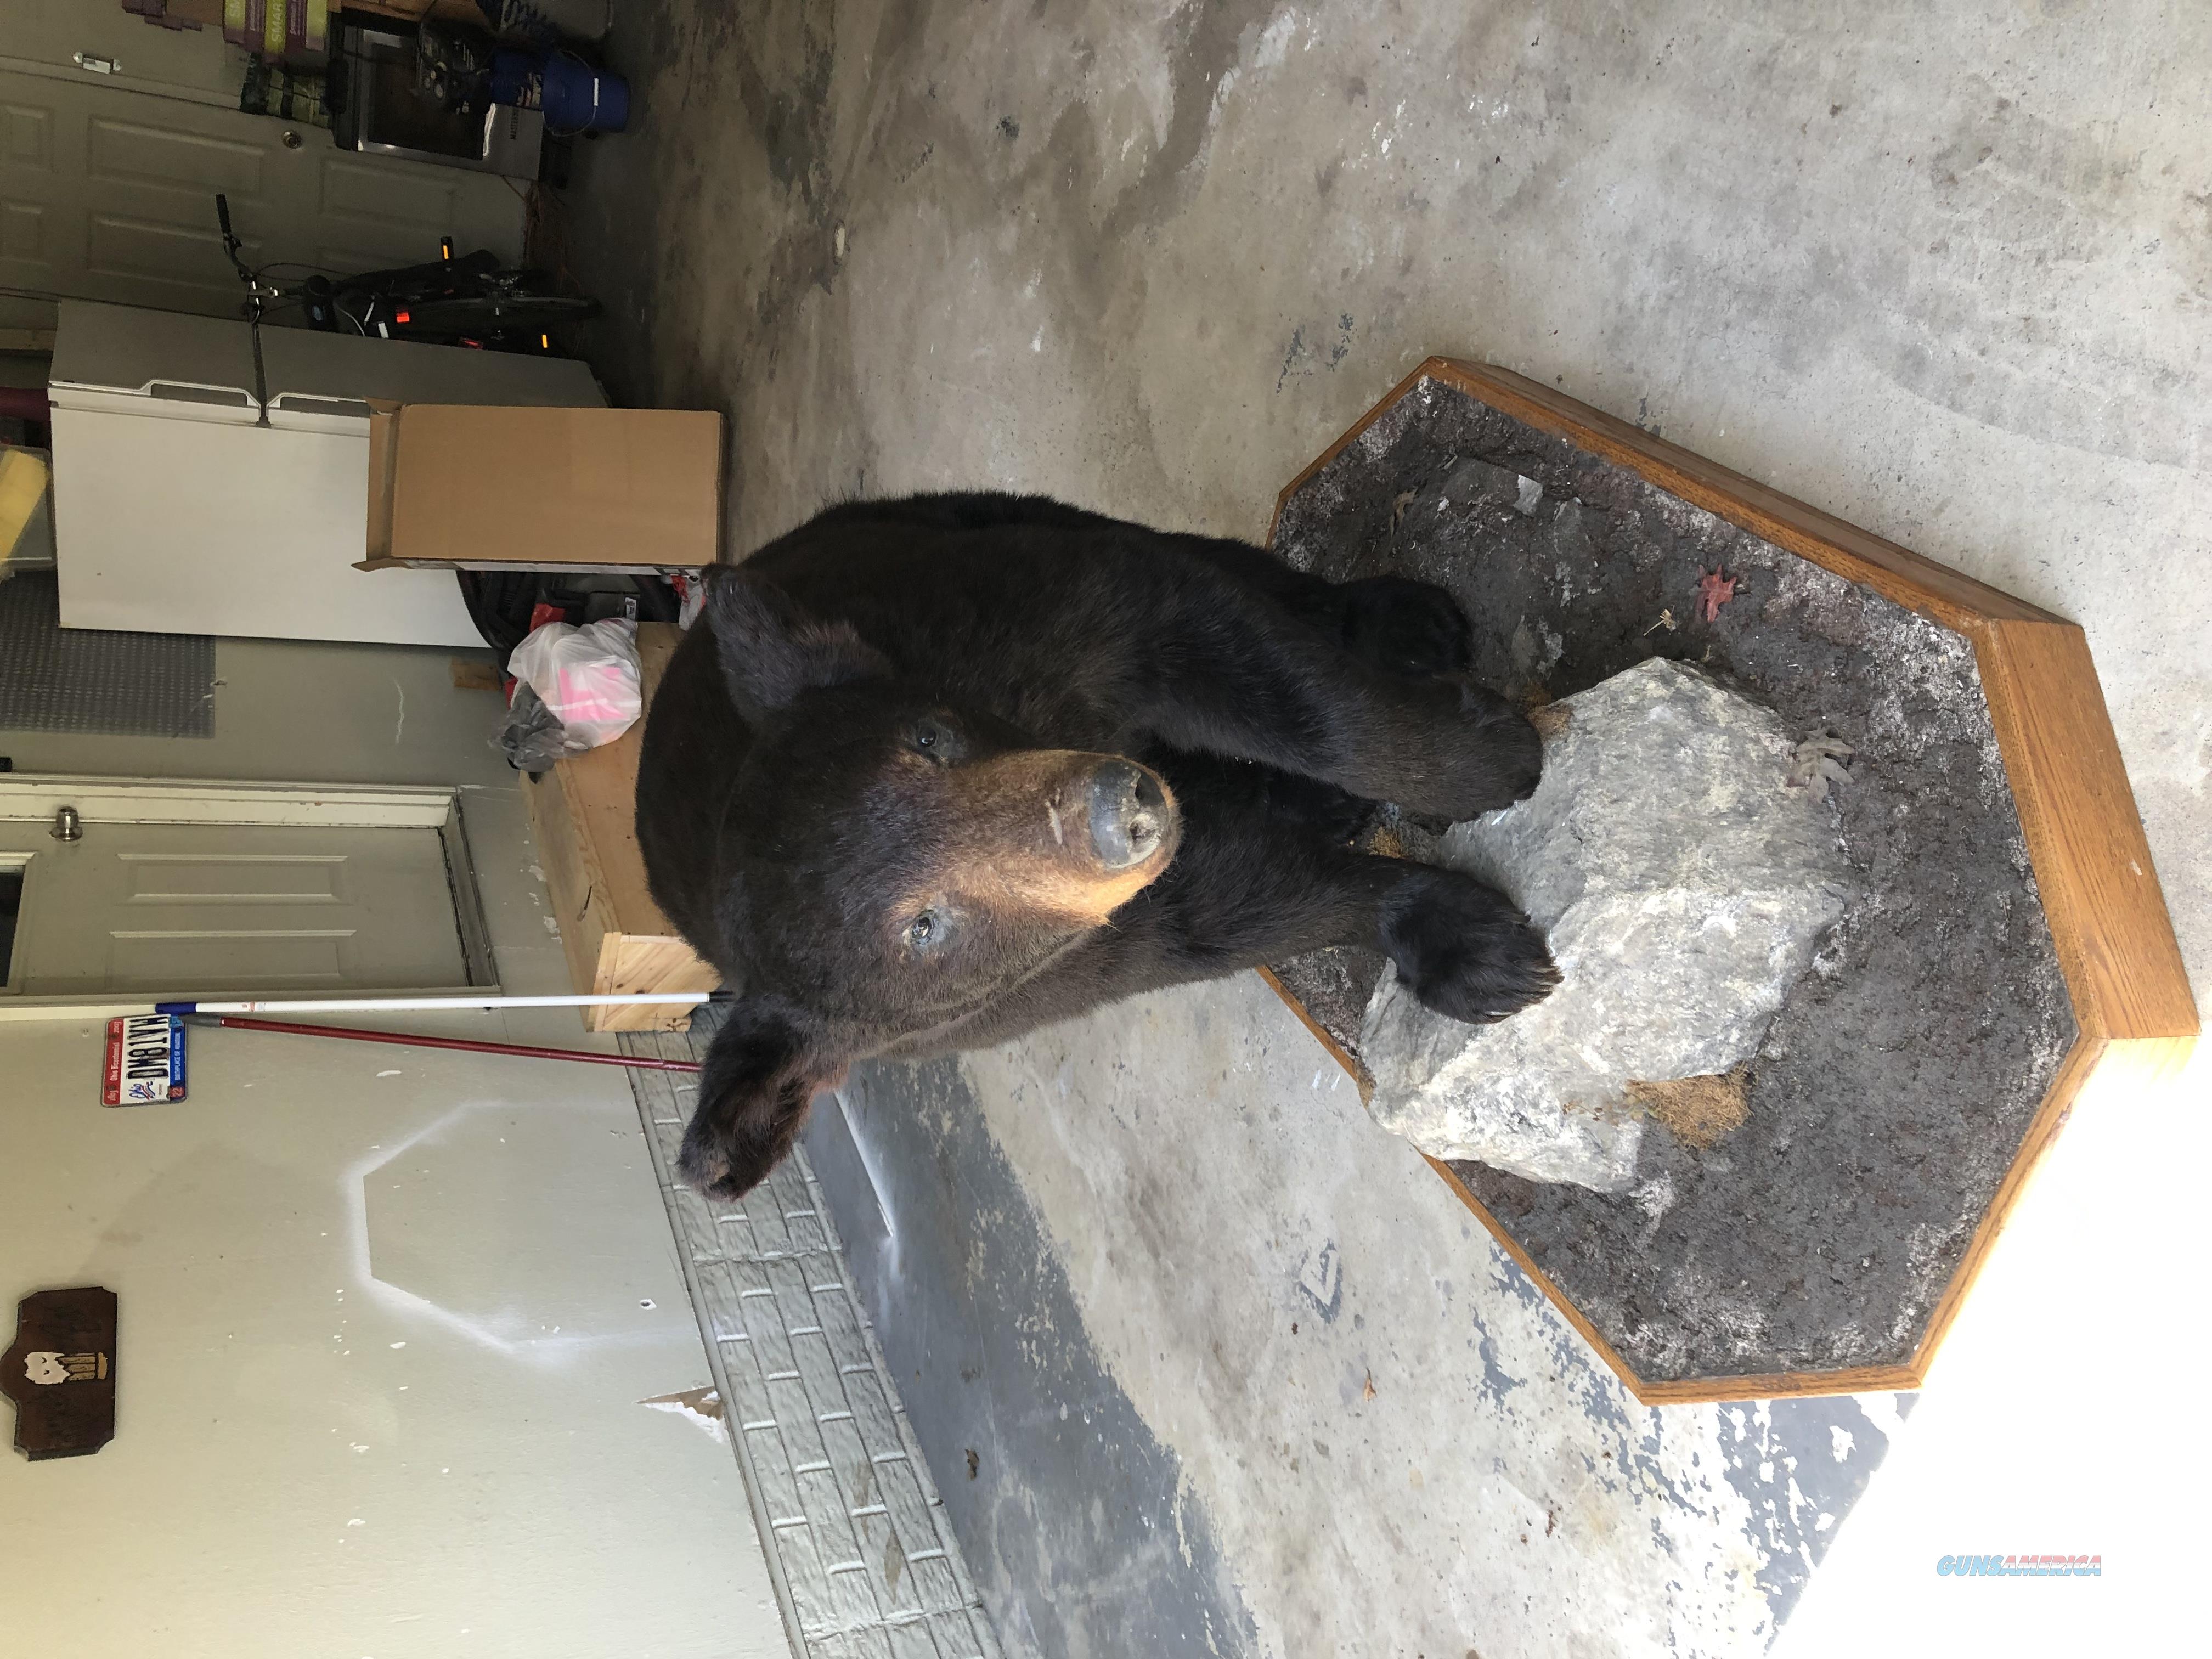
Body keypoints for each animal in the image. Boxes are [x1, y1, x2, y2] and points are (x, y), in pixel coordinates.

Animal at [636, 493, 1559, 1200]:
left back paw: (1402, 625)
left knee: (1198, 559)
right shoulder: (1050, 968)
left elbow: (1214, 644)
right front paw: (1463, 936)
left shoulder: (1009, 621)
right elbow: (1230, 914)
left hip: (927, 525)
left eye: (932, 740)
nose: (1123, 812)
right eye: (925, 928)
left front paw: (1486, 759)